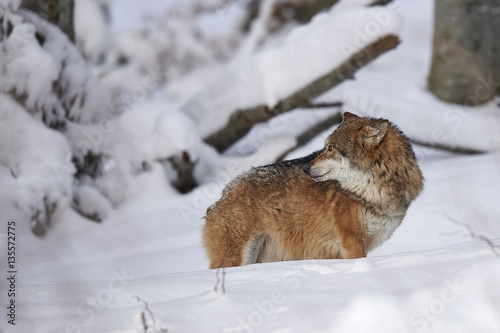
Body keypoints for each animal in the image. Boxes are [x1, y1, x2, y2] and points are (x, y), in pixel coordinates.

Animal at [202, 111, 422, 268]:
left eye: (331, 148)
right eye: (324, 147)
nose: (305, 168)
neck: (373, 193)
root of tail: (220, 197)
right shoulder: (352, 242)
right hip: (237, 258)